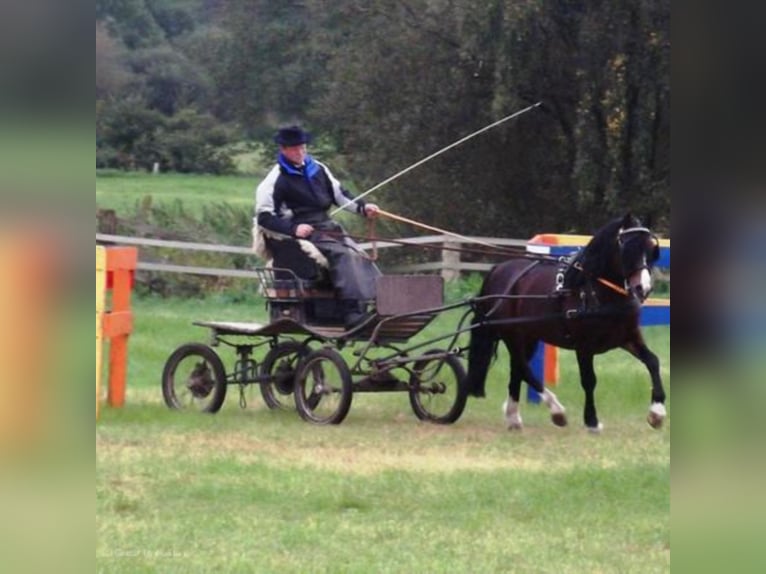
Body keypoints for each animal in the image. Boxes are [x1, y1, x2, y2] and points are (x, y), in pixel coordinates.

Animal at [464, 213, 668, 432]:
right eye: (628, 247)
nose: (642, 288)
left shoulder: (628, 337)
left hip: (529, 337)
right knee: (523, 369)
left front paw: (657, 413)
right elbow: (589, 380)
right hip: (512, 335)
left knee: (517, 369)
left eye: (652, 250)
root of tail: (497, 269)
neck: (595, 292)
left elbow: (653, 361)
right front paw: (592, 421)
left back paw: (513, 417)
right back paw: (556, 411)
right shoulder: (584, 346)